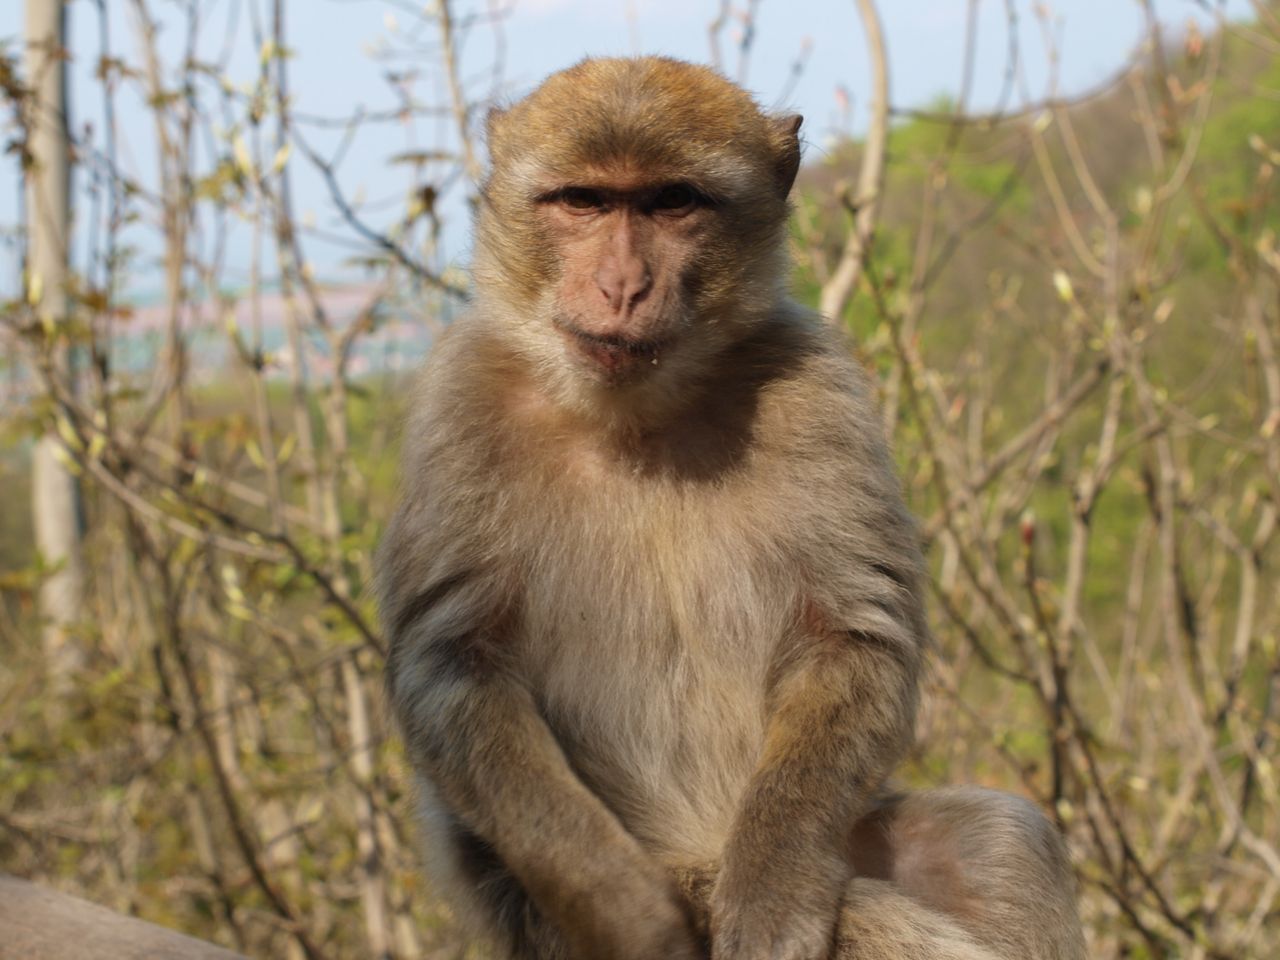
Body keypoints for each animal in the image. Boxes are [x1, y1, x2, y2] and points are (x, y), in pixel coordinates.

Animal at [376, 58, 1080, 960]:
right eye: (583, 201)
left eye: (673, 202)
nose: (621, 285)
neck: (638, 418)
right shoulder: (463, 401)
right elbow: (452, 663)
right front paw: (619, 901)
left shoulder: (813, 388)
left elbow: (854, 633)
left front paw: (771, 891)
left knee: (998, 841)